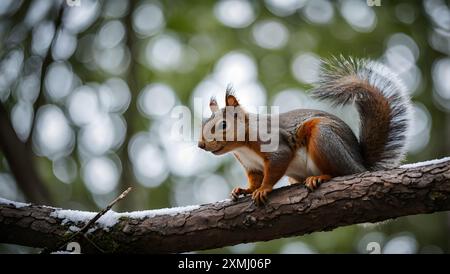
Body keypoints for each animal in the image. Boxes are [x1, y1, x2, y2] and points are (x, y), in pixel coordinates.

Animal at [199, 56, 414, 206]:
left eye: (223, 125)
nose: (201, 145)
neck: (241, 146)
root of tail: (360, 164)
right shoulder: (252, 166)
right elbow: (255, 179)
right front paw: (245, 190)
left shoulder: (274, 144)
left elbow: (275, 166)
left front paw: (263, 189)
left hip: (324, 137)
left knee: (341, 173)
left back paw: (321, 177)